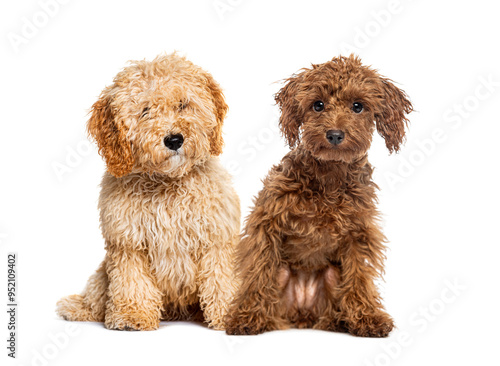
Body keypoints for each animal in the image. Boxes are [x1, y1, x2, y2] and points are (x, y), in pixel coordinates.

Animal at [225, 55, 412, 338]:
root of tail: (303, 315)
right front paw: (247, 316)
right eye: (318, 105)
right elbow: (259, 271)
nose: (334, 134)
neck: (329, 179)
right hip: (282, 276)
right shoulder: (267, 223)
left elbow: (359, 277)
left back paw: (342, 321)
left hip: (333, 276)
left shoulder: (358, 234)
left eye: (358, 106)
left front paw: (368, 318)